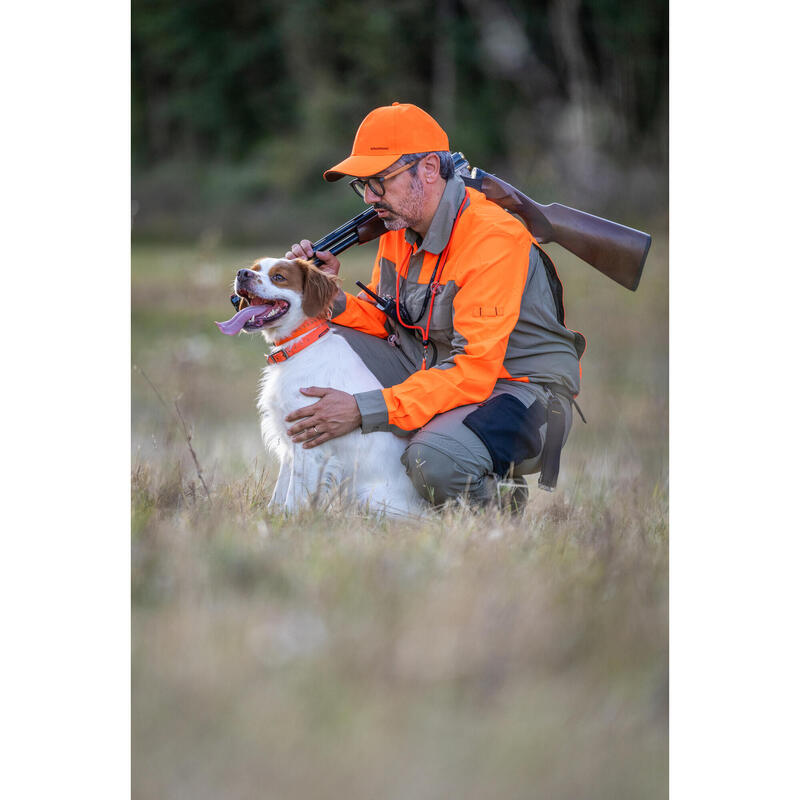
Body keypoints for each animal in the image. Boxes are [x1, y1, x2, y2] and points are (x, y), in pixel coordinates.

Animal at [212, 258, 424, 520]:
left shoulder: (310, 442)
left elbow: (294, 495)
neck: (300, 347)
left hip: (368, 497)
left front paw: (289, 520)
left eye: (279, 277)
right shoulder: (290, 443)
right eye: (255, 269)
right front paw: (271, 517)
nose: (242, 274)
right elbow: (280, 490)